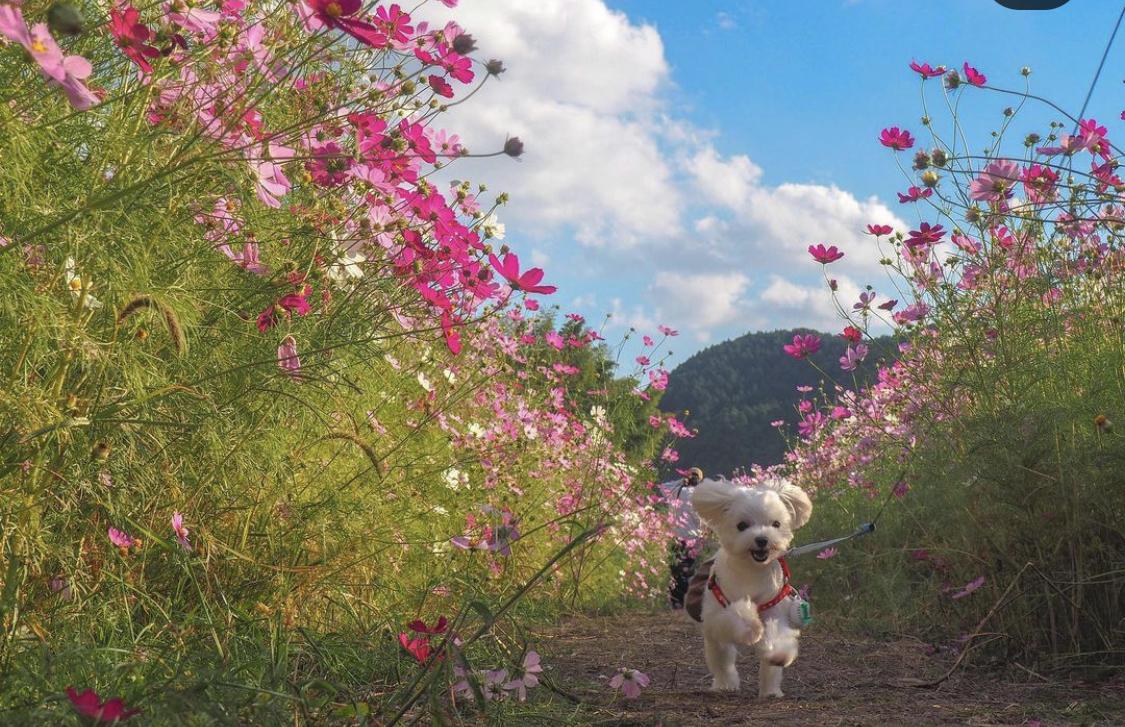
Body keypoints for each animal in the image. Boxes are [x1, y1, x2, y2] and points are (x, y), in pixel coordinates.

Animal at [688, 479, 814, 702]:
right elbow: (738, 616)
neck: (752, 571)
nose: (762, 539)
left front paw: (778, 653)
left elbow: (777, 634)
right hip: (716, 643)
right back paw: (726, 685)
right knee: (723, 662)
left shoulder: (775, 609)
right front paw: (752, 627)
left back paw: (770, 691)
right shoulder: (717, 614)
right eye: (742, 526)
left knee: (769, 670)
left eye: (776, 524)